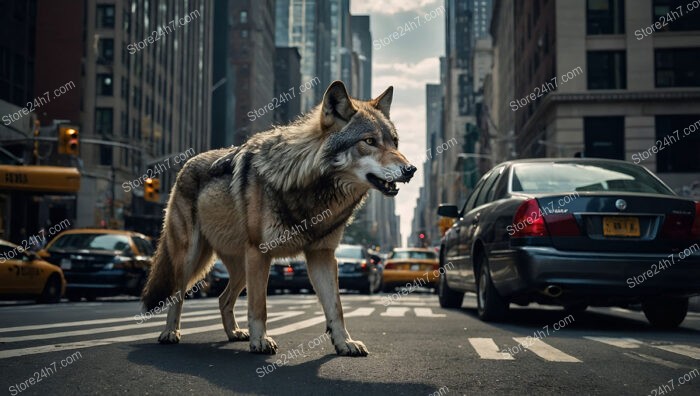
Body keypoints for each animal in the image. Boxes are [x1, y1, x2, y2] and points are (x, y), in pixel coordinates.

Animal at [142, 79, 416, 356]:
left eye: (394, 142)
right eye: (369, 141)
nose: (411, 169)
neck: (310, 187)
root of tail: (186, 164)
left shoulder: (322, 255)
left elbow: (336, 309)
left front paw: (344, 343)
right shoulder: (260, 252)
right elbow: (259, 307)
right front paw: (261, 341)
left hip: (240, 267)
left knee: (222, 299)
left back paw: (233, 333)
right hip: (192, 257)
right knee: (177, 295)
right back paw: (170, 333)